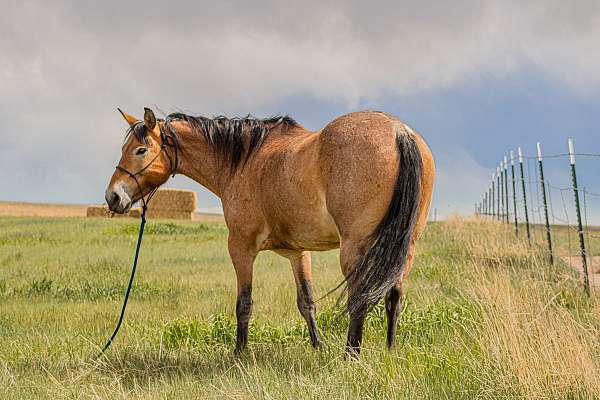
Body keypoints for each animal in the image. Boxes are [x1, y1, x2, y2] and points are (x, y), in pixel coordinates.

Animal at [106, 107, 436, 356]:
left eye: (141, 150)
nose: (112, 197)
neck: (244, 161)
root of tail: (399, 132)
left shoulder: (240, 248)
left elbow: (244, 304)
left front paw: (240, 353)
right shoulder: (297, 253)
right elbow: (307, 302)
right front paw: (318, 346)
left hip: (354, 249)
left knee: (360, 297)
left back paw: (351, 355)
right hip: (404, 246)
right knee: (394, 295)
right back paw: (390, 350)